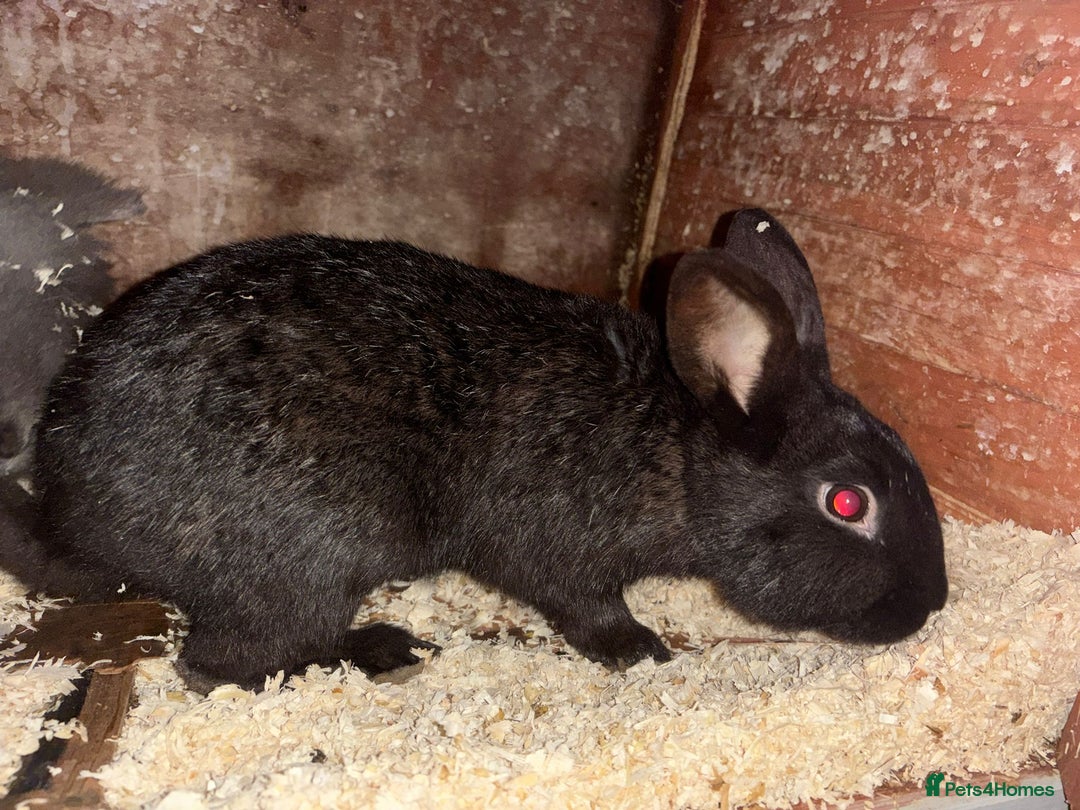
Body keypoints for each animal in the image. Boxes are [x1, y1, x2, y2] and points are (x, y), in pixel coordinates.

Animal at [20, 208, 947, 692]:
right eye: (847, 503)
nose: (930, 606)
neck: (675, 453)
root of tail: (74, 521)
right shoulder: (560, 557)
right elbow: (586, 606)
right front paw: (641, 650)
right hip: (309, 562)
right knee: (221, 665)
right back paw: (381, 651)